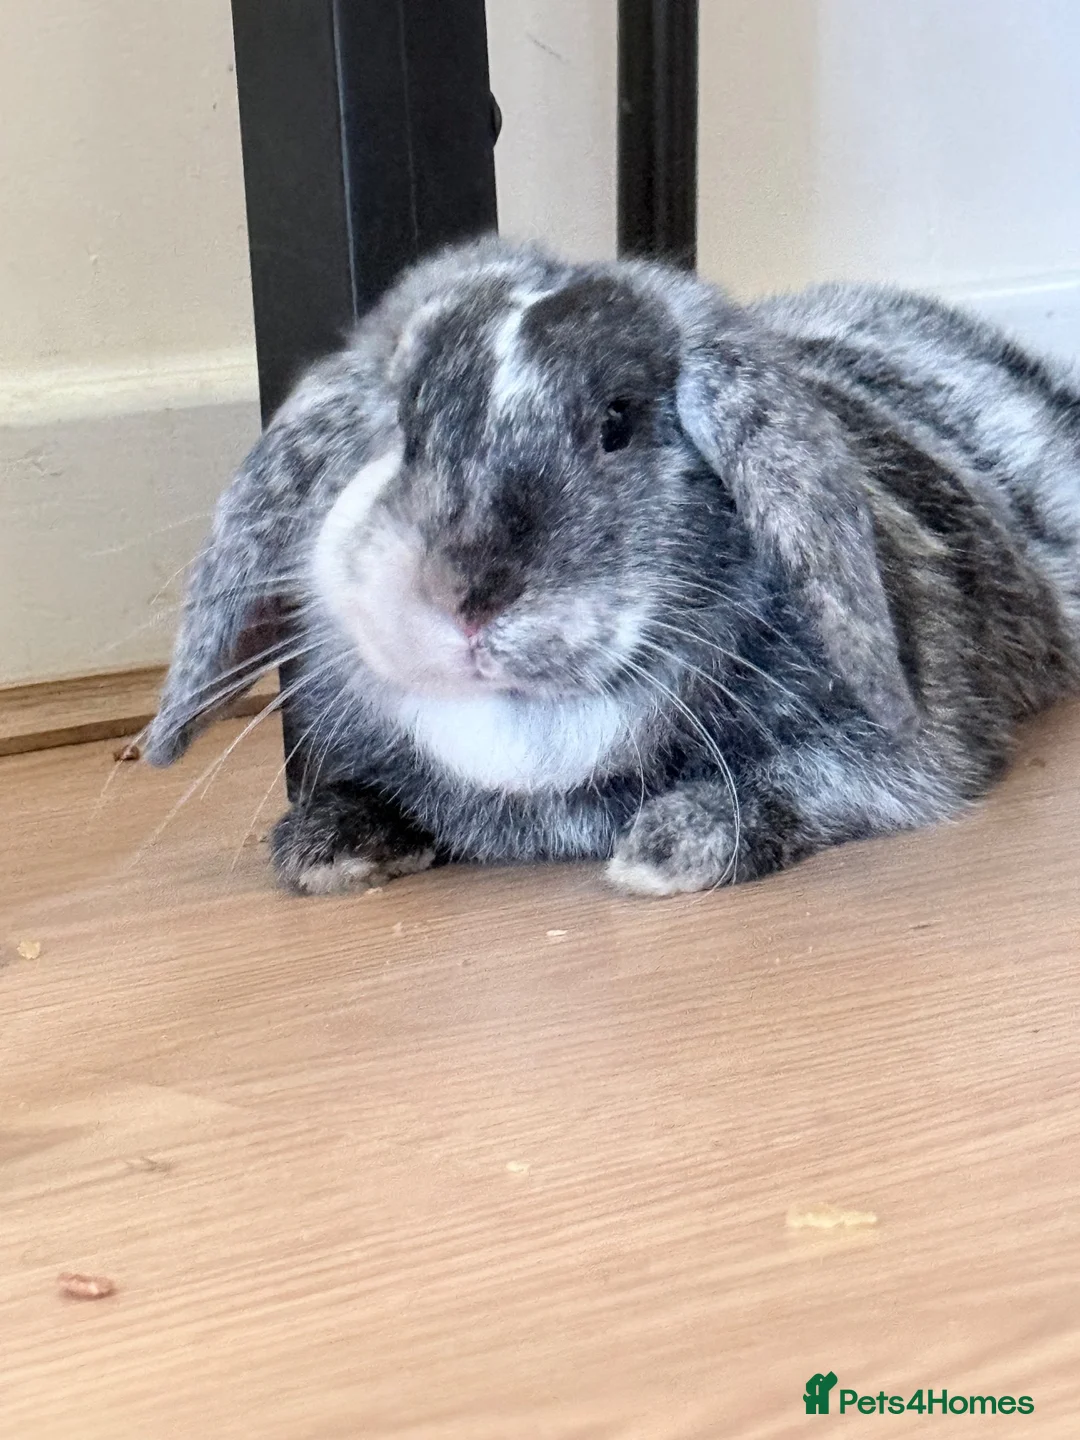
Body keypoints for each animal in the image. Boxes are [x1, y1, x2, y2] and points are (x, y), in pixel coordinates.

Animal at [144, 235, 1080, 896]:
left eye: (618, 421)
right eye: (400, 421)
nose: (467, 595)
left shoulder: (897, 766)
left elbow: (796, 785)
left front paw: (665, 851)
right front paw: (323, 847)